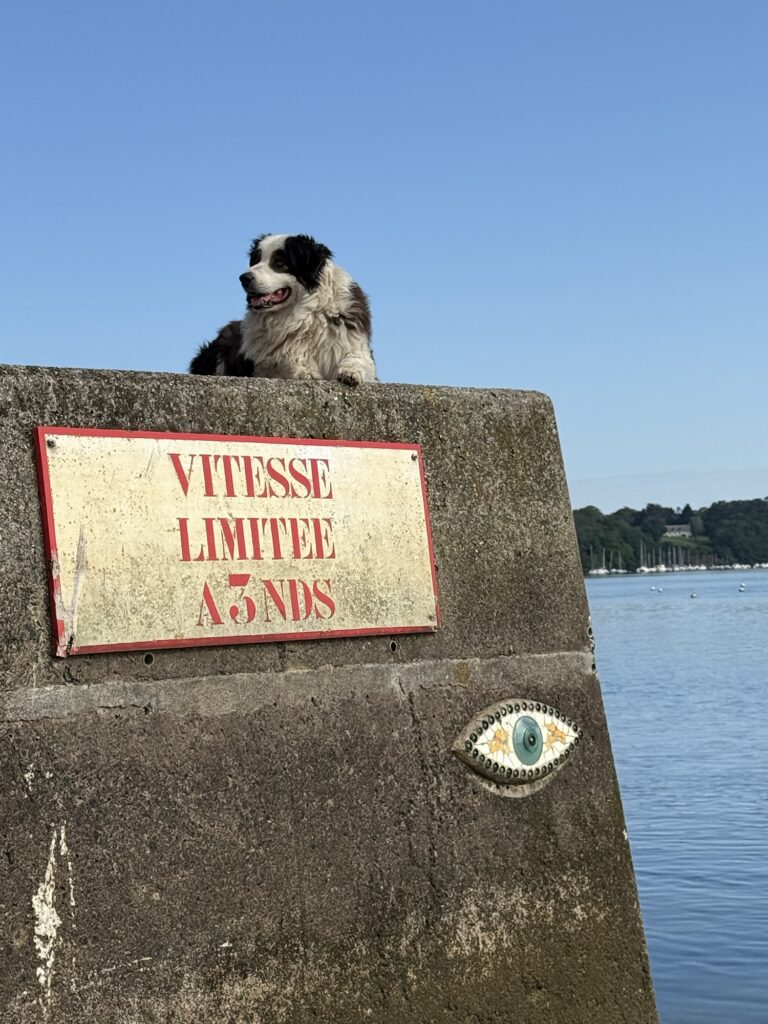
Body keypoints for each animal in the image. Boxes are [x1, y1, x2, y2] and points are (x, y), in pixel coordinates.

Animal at [190, 234, 376, 385]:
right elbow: (282, 361)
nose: (244, 278)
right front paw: (305, 372)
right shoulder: (259, 363)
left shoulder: (352, 341)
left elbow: (359, 358)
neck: (302, 315)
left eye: (279, 263)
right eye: (255, 261)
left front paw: (351, 371)